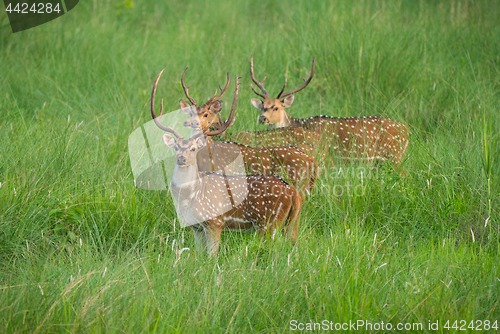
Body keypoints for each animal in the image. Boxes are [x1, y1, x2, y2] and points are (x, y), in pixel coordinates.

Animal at [151, 73, 300, 256]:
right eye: (176, 147)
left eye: (193, 148)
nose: (181, 158)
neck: (189, 197)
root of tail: (293, 192)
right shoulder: (196, 227)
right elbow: (199, 255)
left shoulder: (215, 222)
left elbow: (212, 256)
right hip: (291, 223)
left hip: (269, 222)